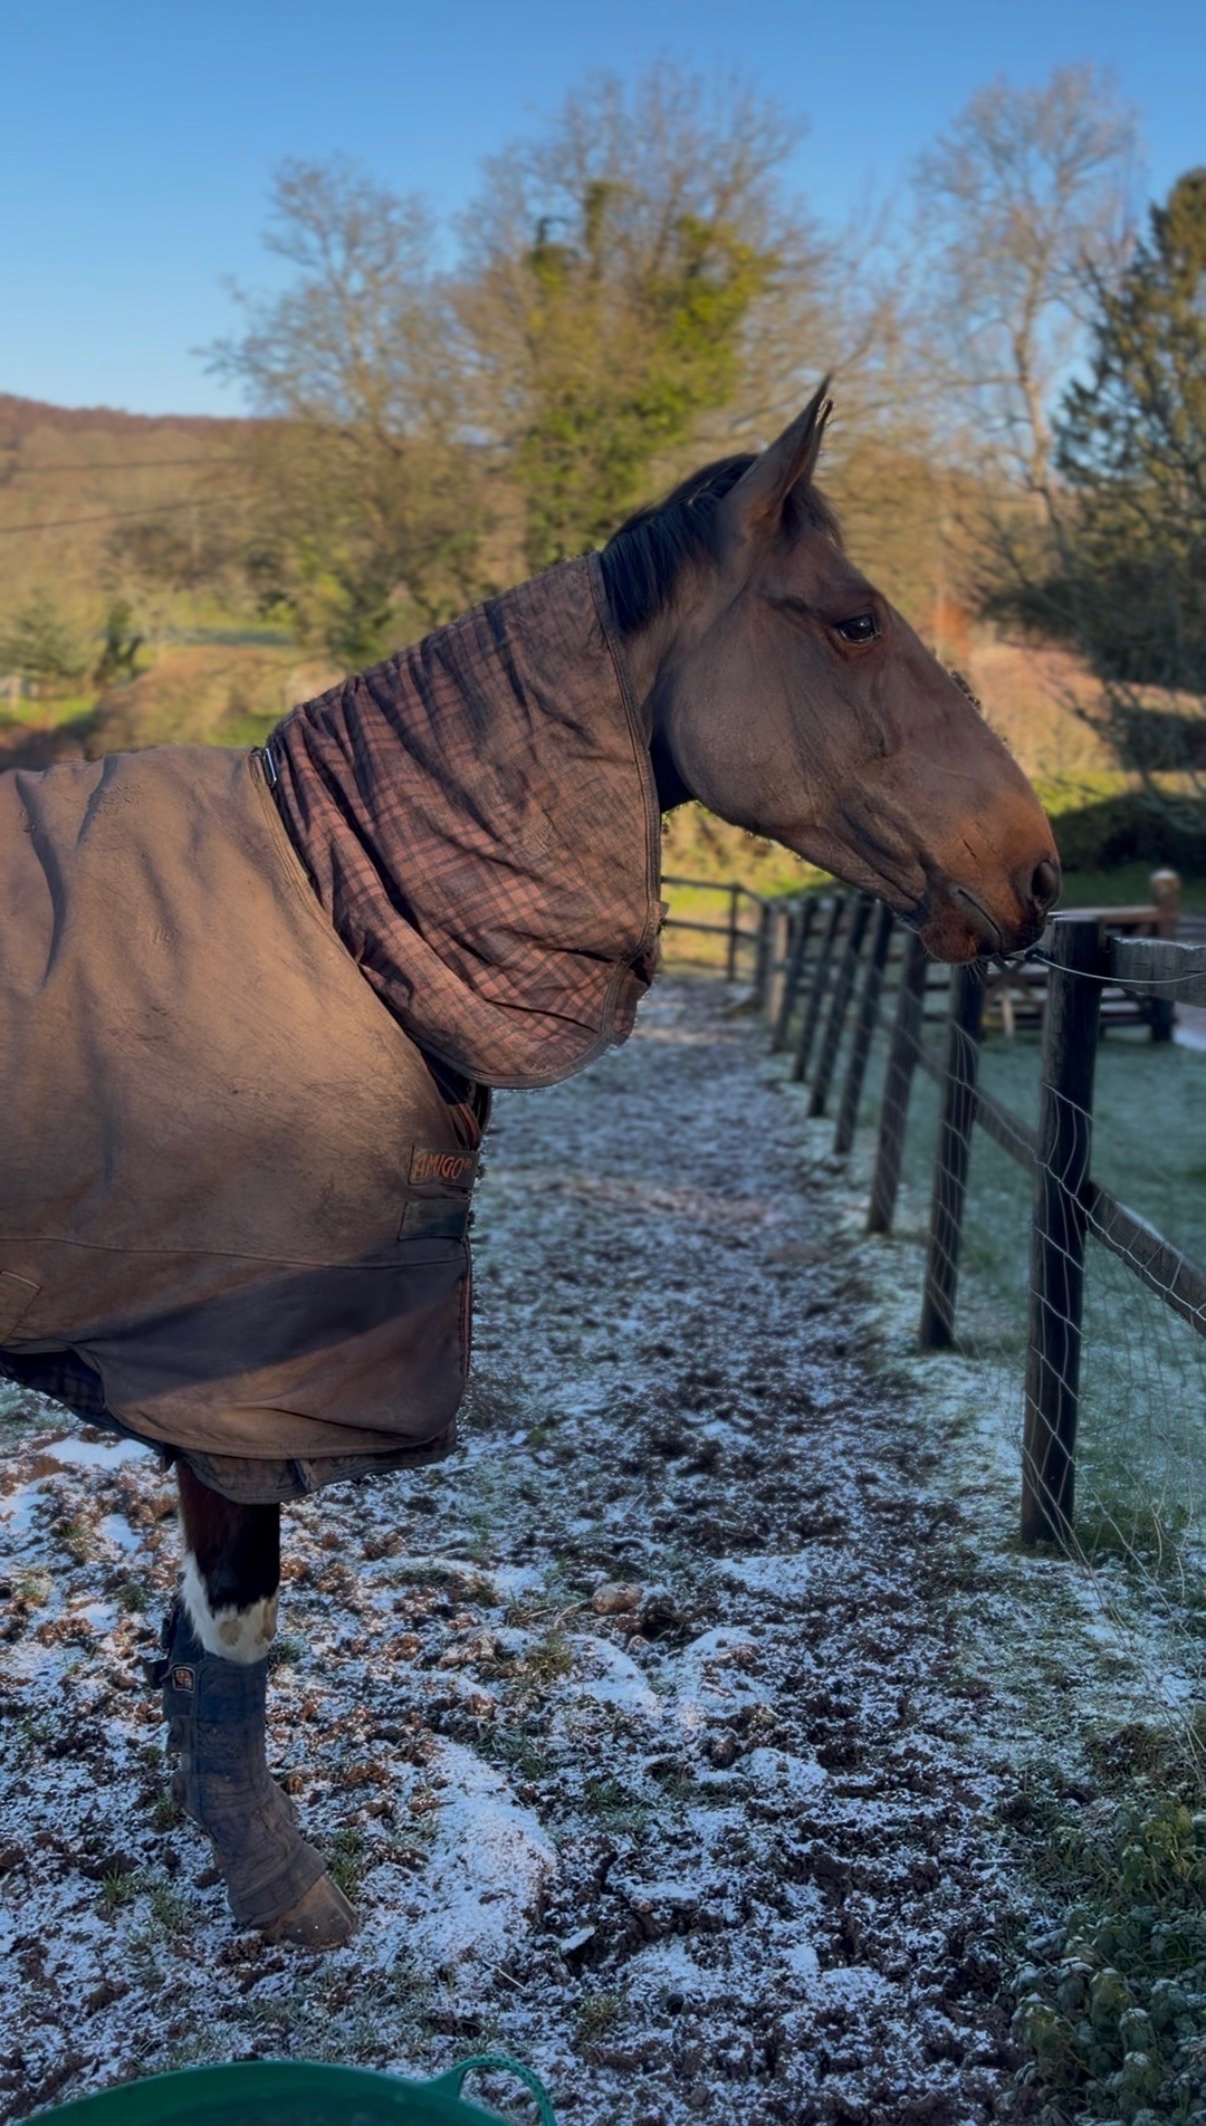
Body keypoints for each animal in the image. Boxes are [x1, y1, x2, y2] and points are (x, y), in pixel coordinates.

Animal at [0, 386, 1060, 1947]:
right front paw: (278, 1878)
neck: (339, 906)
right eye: (856, 620)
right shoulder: (234, 1377)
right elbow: (236, 1613)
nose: (1038, 869)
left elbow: (199, 1631)